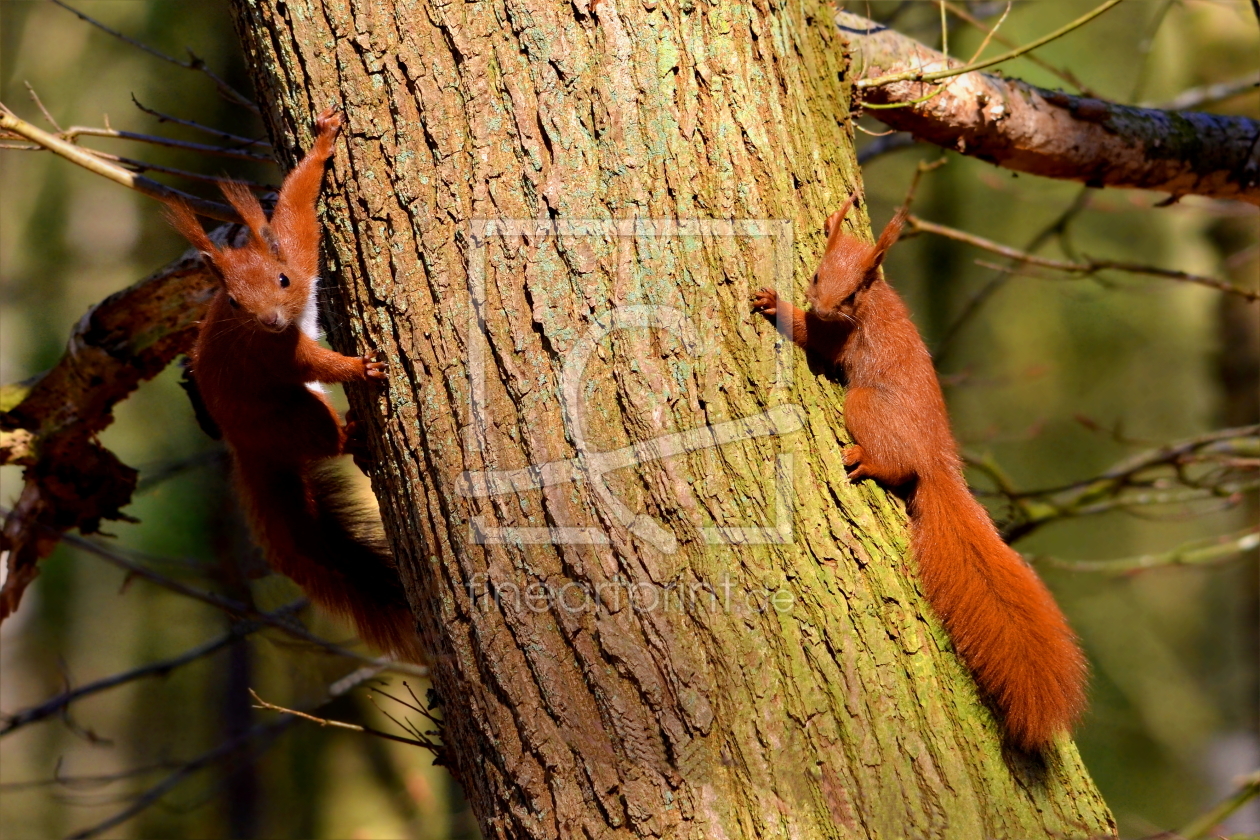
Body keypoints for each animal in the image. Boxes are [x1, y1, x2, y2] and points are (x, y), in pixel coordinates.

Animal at [162, 110, 423, 664]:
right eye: (234, 302)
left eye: (282, 279)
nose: (273, 320)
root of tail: (247, 449)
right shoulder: (273, 354)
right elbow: (312, 362)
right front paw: (361, 369)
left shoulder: (298, 250)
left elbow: (295, 207)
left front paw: (323, 141)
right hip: (294, 416)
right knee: (325, 439)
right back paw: (353, 436)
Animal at [750, 195, 1088, 750]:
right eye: (818, 273)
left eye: (852, 293)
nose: (821, 305)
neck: (873, 303)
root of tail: (936, 462)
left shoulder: (837, 336)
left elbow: (808, 336)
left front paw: (773, 302)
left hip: (865, 405)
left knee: (895, 466)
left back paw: (864, 461)